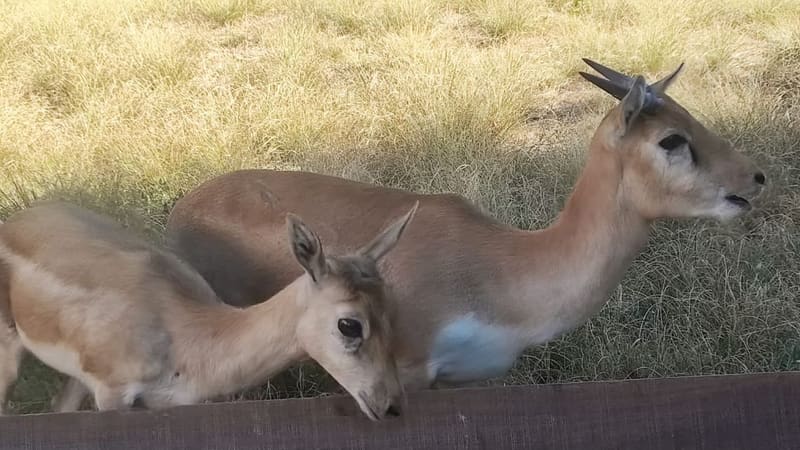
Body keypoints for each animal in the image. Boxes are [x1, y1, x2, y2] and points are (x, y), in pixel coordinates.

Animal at [166, 59, 766, 391]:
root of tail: (179, 210)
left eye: (690, 116)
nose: (755, 177)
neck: (501, 267)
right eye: (671, 139)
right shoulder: (409, 371)